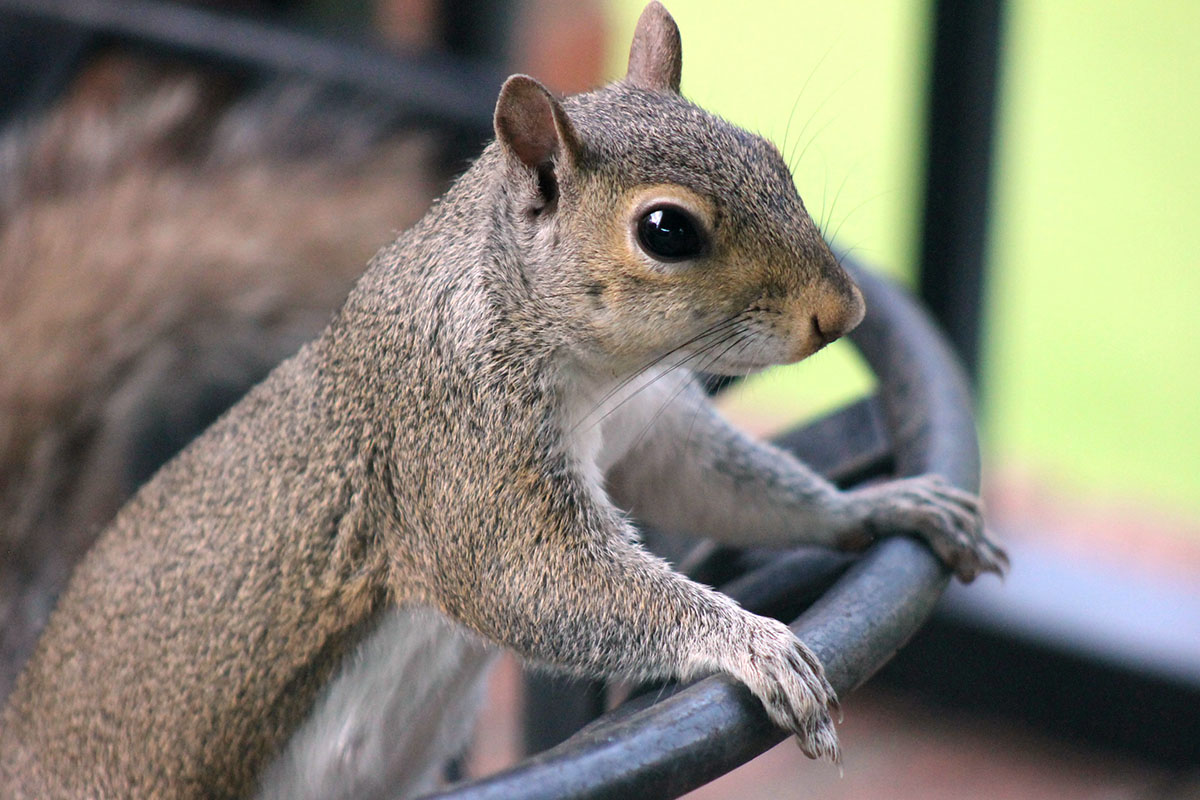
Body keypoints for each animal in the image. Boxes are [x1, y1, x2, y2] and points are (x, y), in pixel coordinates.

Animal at [0, 3, 1007, 798]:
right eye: (667, 230)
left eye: (769, 157)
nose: (844, 312)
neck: (594, 372)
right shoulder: (461, 444)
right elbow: (529, 579)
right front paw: (754, 643)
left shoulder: (651, 432)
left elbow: (729, 489)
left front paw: (886, 506)